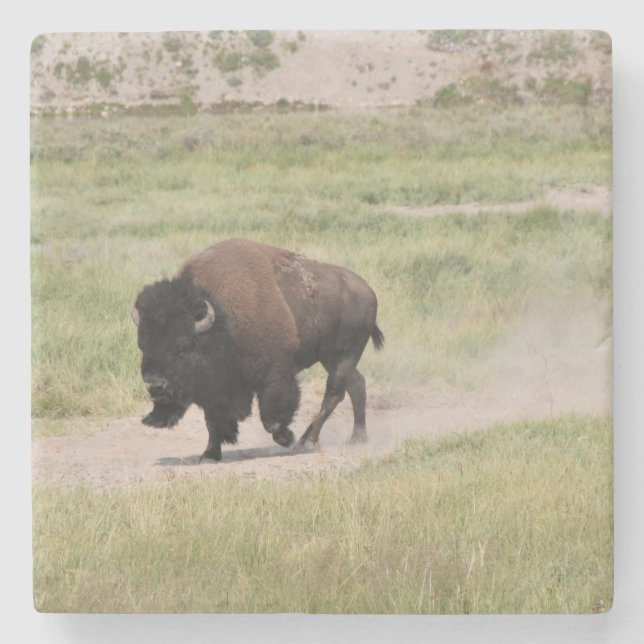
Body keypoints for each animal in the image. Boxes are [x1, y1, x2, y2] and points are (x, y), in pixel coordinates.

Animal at [131, 238, 384, 462]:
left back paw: (305, 442)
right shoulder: (213, 388)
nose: (155, 385)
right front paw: (209, 455)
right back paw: (357, 438)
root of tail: (369, 292)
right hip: (331, 359)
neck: (222, 321)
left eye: (183, 346)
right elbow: (212, 420)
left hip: (342, 356)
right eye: (142, 345)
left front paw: (287, 437)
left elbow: (271, 418)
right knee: (356, 386)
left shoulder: (275, 374)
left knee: (334, 394)